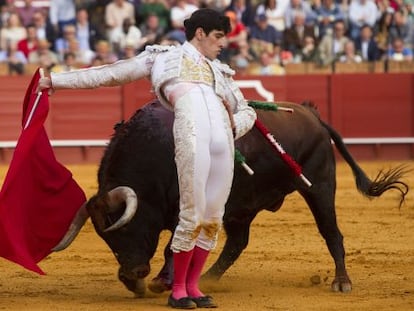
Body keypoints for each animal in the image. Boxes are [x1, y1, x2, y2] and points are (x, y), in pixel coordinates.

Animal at [54, 100, 408, 298]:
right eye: (106, 238)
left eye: (127, 227)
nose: (131, 275)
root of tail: (312, 114)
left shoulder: (187, 207)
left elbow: (172, 246)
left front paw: (161, 282)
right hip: (242, 205)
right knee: (238, 242)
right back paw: (208, 278)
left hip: (320, 186)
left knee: (331, 233)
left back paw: (341, 282)